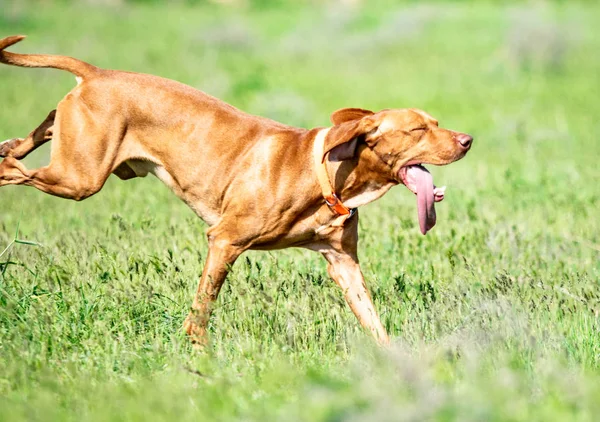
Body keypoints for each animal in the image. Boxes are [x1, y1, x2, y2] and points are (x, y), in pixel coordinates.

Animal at [0, 35, 474, 346]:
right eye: (417, 130)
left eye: (436, 122)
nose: (467, 140)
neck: (328, 175)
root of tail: (97, 73)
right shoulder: (225, 240)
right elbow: (203, 305)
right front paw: (198, 353)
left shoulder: (343, 263)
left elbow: (372, 319)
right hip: (80, 178)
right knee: (14, 168)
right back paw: (5, 164)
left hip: (71, 151)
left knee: (28, 139)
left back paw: (10, 145)